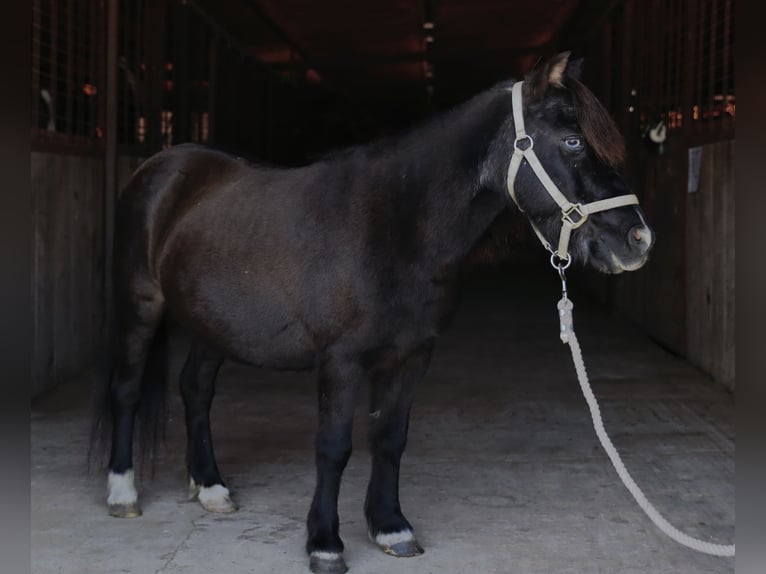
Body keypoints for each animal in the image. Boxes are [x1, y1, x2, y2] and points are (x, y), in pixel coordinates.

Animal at [91, 52, 654, 574]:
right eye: (573, 142)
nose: (638, 240)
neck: (395, 226)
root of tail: (160, 168)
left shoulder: (411, 357)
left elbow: (388, 440)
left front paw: (391, 528)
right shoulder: (341, 362)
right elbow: (334, 447)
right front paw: (324, 544)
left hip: (214, 325)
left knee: (196, 390)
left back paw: (211, 488)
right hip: (141, 306)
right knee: (126, 389)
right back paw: (122, 494)